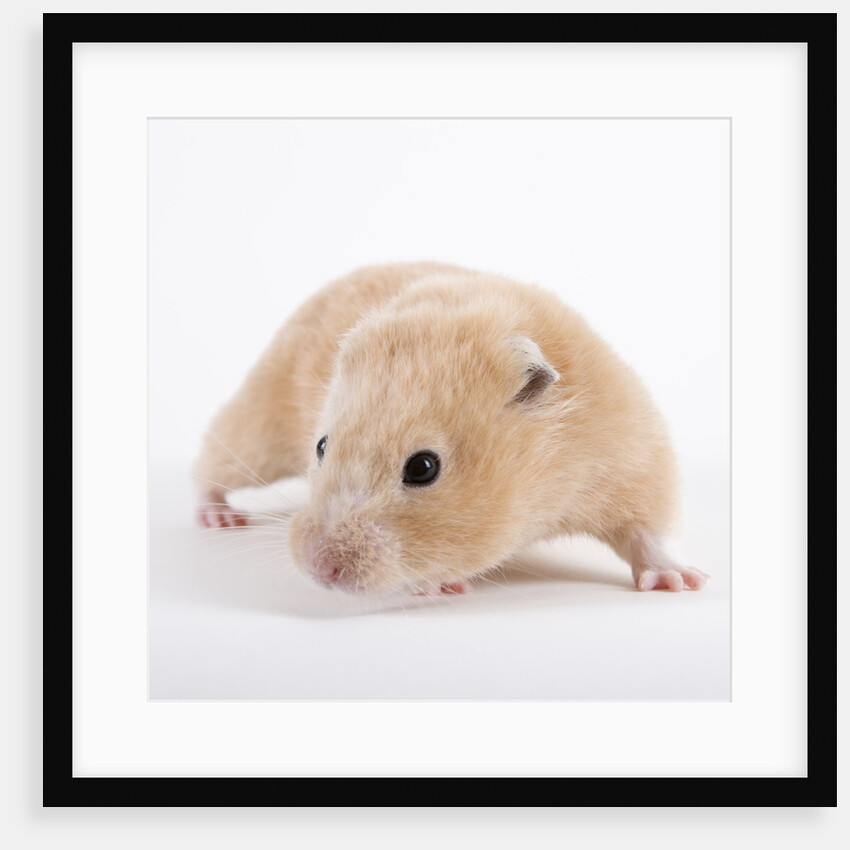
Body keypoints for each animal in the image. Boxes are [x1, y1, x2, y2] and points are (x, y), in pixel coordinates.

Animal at [194, 262, 709, 595]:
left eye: (423, 467)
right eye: (321, 446)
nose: (318, 569)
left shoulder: (633, 460)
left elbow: (649, 533)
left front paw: (681, 582)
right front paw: (439, 584)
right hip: (261, 422)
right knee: (211, 463)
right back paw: (219, 518)